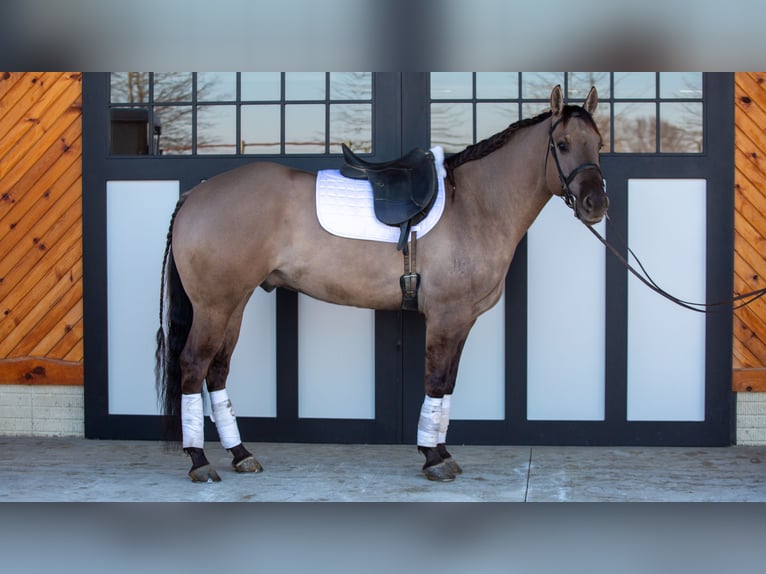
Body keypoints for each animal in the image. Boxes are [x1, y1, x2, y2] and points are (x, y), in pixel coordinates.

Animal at [155, 85, 609, 482]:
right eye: (562, 144)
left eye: (599, 144)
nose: (596, 204)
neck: (474, 205)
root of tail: (196, 194)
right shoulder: (446, 317)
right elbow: (436, 381)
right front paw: (433, 458)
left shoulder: (462, 321)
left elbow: (448, 384)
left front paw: (440, 451)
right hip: (214, 306)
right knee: (193, 365)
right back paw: (199, 461)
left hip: (235, 302)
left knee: (217, 370)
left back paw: (240, 453)